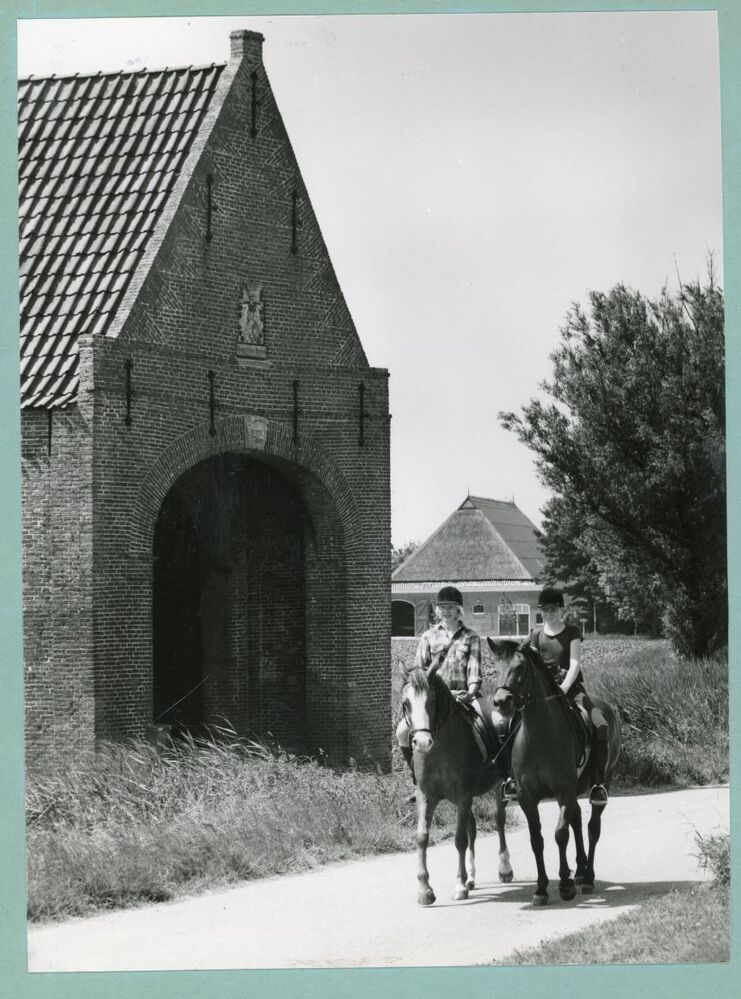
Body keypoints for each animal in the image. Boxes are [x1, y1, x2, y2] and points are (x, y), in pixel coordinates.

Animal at [400, 666, 513, 906]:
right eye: (406, 703)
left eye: (432, 700)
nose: (422, 743)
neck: (439, 749)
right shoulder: (426, 796)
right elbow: (422, 837)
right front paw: (425, 890)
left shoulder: (463, 796)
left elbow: (459, 839)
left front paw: (459, 886)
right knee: (472, 827)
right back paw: (471, 878)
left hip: (497, 787)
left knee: (499, 821)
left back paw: (504, 869)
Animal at [487, 637, 621, 906]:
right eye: (495, 668)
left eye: (520, 667)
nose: (501, 701)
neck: (540, 734)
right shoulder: (527, 797)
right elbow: (536, 840)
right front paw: (541, 888)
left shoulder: (563, 791)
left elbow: (560, 834)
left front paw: (565, 885)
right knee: (577, 820)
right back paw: (579, 870)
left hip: (601, 785)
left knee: (592, 828)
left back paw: (587, 878)